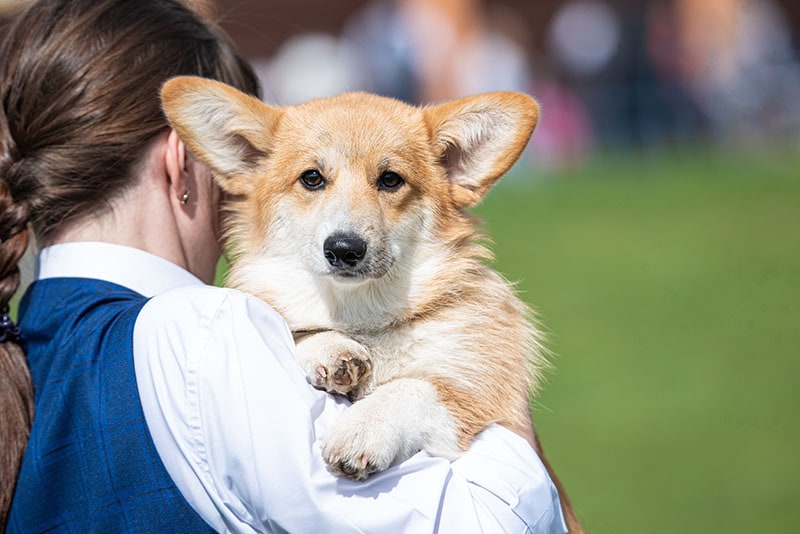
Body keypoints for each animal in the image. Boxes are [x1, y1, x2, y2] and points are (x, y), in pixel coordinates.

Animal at [159, 75, 580, 532]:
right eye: (312, 178)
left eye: (390, 180)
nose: (344, 249)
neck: (365, 317)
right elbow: (303, 328)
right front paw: (332, 350)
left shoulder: (485, 401)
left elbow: (415, 386)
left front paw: (363, 428)